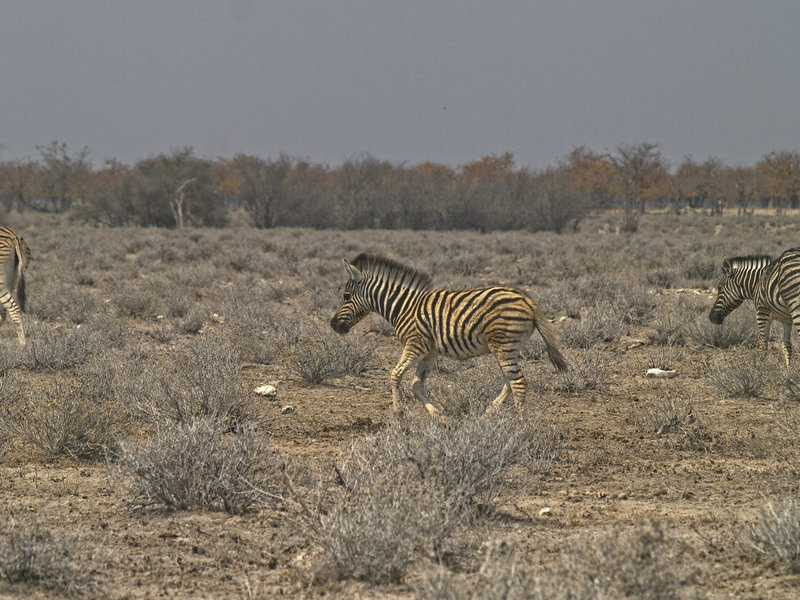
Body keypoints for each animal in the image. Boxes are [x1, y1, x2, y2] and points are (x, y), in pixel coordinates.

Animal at [330, 254, 568, 420]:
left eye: (346, 296)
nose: (333, 325)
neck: (403, 307)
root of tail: (528, 300)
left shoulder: (415, 344)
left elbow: (395, 374)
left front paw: (398, 414)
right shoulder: (429, 352)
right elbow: (416, 385)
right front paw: (440, 418)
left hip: (504, 345)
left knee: (518, 382)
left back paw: (518, 424)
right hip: (505, 347)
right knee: (509, 382)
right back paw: (485, 416)